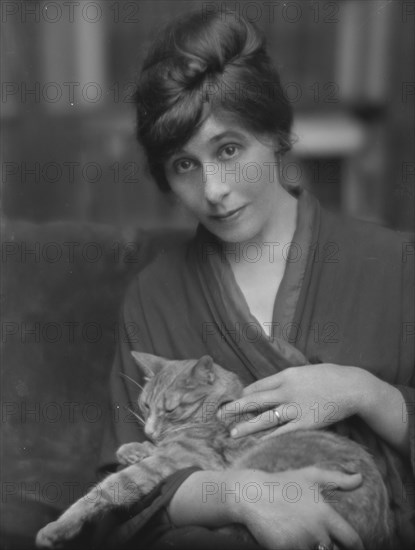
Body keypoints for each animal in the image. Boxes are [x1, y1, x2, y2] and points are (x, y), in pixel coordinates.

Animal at [36, 354, 404, 550]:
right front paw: (133, 447)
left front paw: (58, 527)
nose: (149, 428)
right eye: (145, 405)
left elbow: (106, 490)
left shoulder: (174, 460)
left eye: (170, 410)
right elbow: (145, 451)